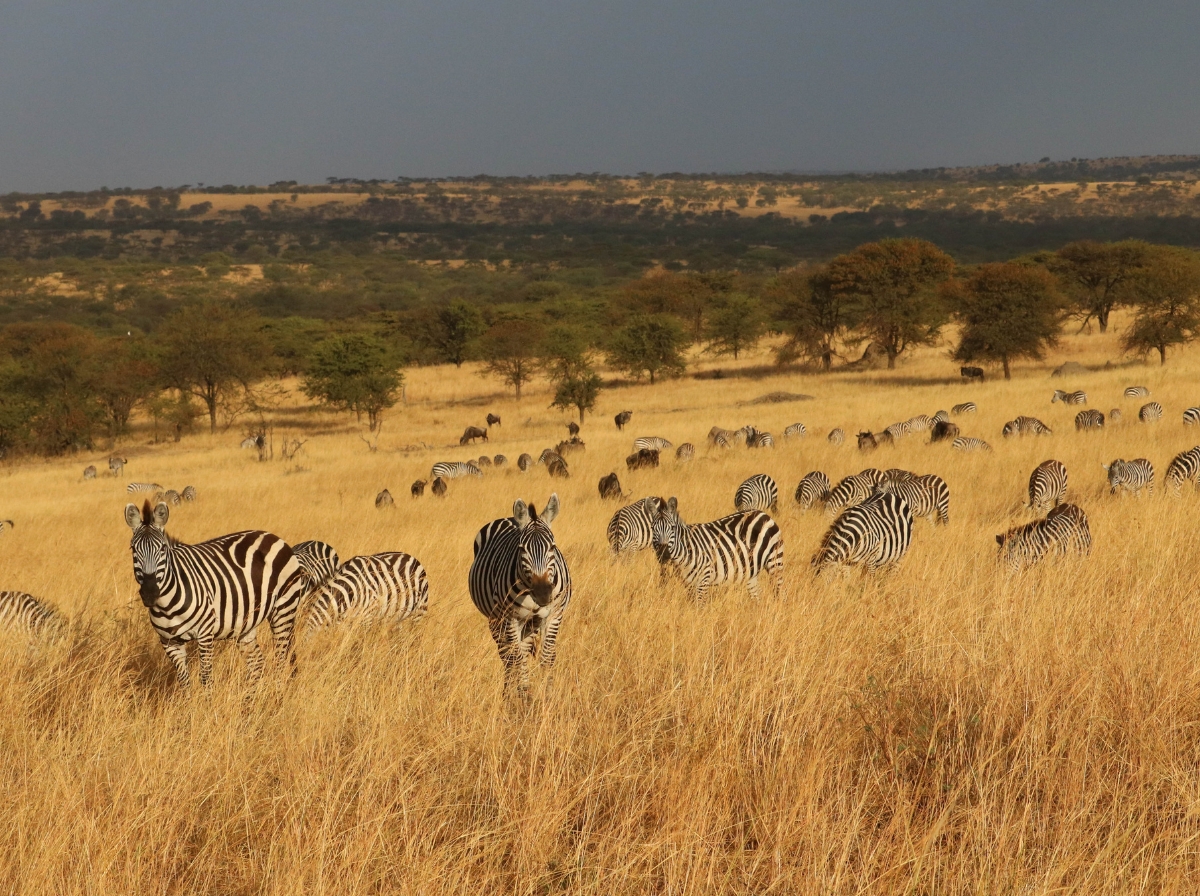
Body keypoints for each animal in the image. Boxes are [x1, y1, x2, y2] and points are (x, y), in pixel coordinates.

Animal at [124, 500, 306, 687]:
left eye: (162, 548)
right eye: (133, 549)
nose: (150, 593)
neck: (166, 606)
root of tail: (272, 536)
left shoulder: (205, 633)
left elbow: (206, 678)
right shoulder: (169, 642)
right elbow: (184, 681)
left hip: (283, 609)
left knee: (281, 660)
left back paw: (277, 694)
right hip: (246, 622)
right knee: (257, 663)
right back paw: (250, 695)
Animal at [468, 494, 572, 695]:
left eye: (552, 547)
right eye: (522, 549)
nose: (543, 593)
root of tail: (508, 517)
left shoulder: (554, 615)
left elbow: (547, 657)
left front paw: (548, 696)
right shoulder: (510, 618)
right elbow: (515, 658)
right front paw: (522, 695)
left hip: (531, 623)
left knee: (521, 651)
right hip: (496, 619)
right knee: (507, 655)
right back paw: (510, 692)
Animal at [651, 498, 783, 600]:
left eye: (672, 528)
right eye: (653, 528)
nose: (663, 554)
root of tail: (762, 513)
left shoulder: (703, 579)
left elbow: (699, 607)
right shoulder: (688, 583)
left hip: (775, 562)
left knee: (780, 591)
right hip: (751, 570)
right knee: (756, 596)